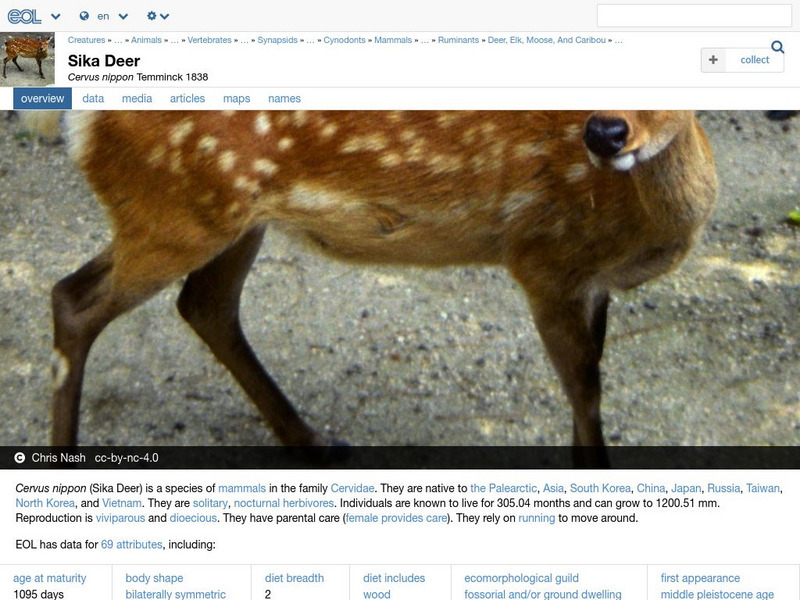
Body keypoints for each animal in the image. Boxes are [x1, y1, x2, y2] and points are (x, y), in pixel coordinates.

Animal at [49, 111, 717, 466]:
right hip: (178, 210)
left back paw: (314, 442)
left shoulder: (591, 285)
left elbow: (587, 395)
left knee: (203, 303)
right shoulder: (545, 262)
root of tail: (80, 125)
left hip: (225, 215)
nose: (605, 133)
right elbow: (586, 397)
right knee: (75, 301)